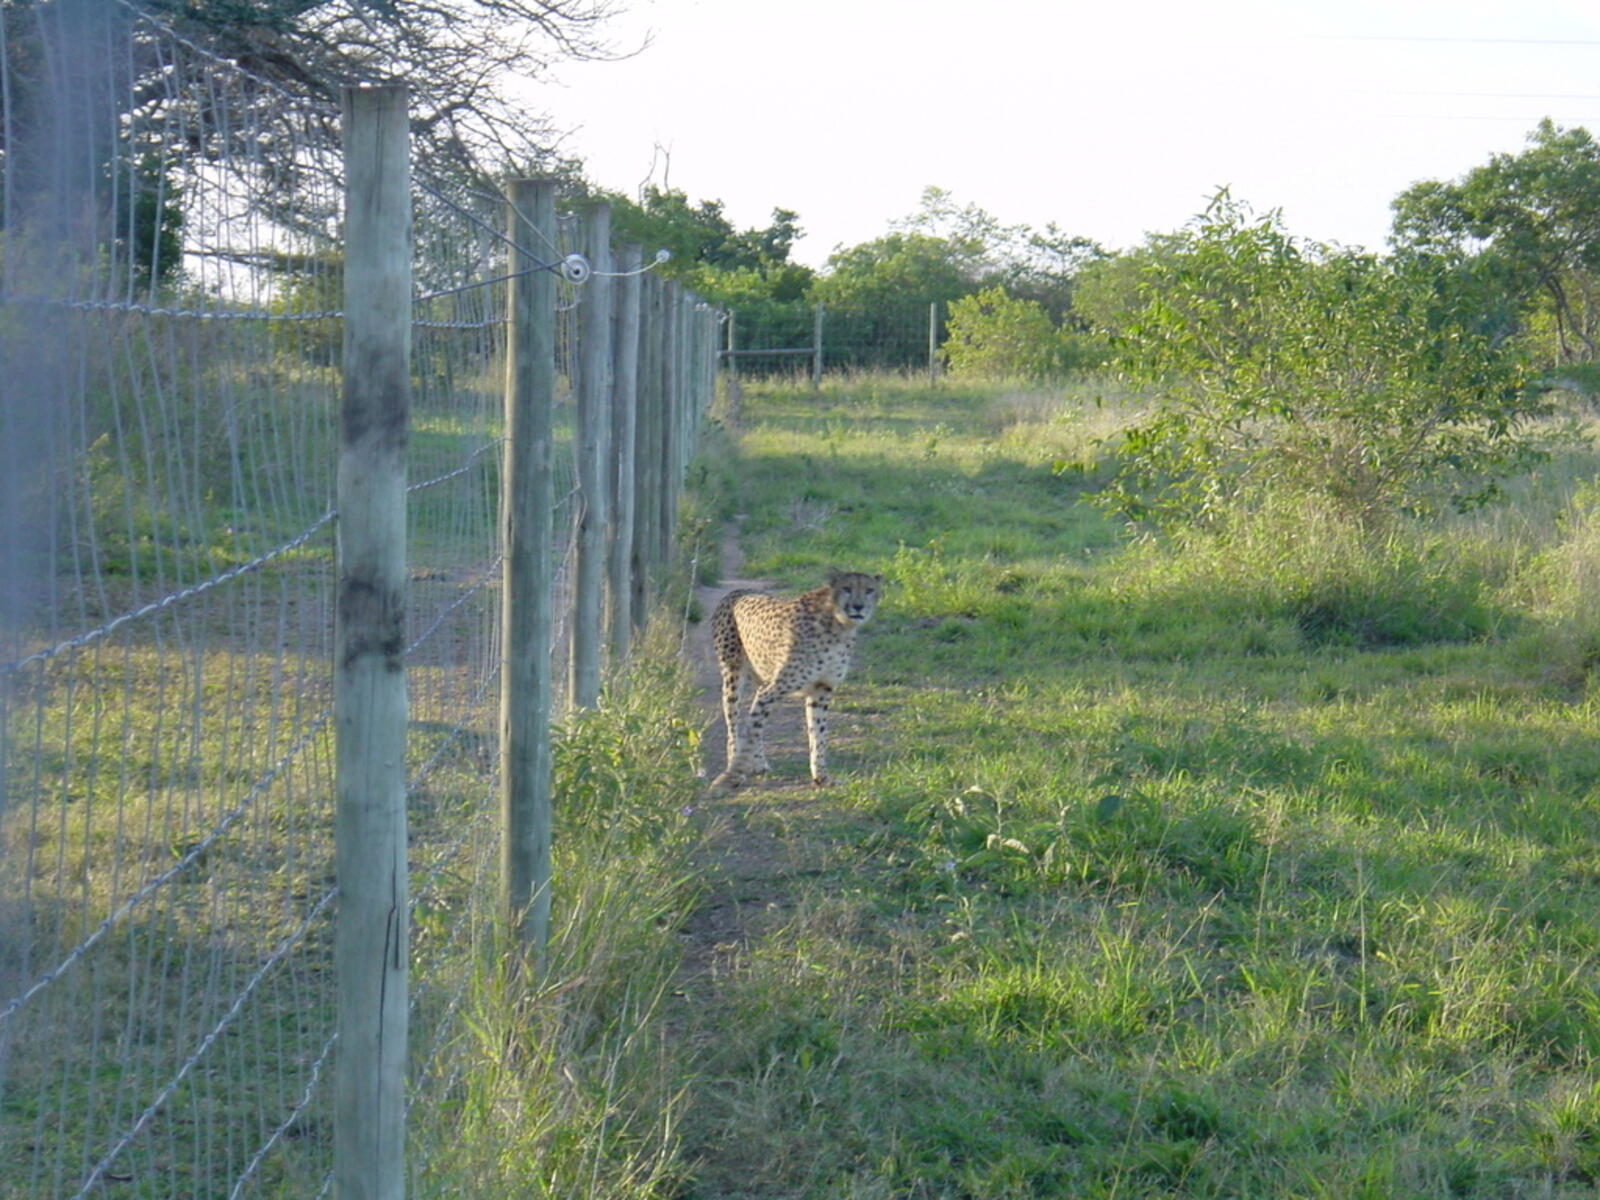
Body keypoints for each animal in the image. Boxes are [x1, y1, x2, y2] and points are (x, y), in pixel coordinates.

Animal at [710, 570, 883, 788]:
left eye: (869, 590)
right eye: (847, 588)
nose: (858, 606)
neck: (838, 624)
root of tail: (737, 590)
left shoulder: (821, 690)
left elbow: (818, 734)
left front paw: (822, 777)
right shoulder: (772, 690)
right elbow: (751, 731)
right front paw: (734, 772)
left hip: (761, 678)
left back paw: (759, 763)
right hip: (733, 676)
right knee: (734, 723)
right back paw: (737, 764)